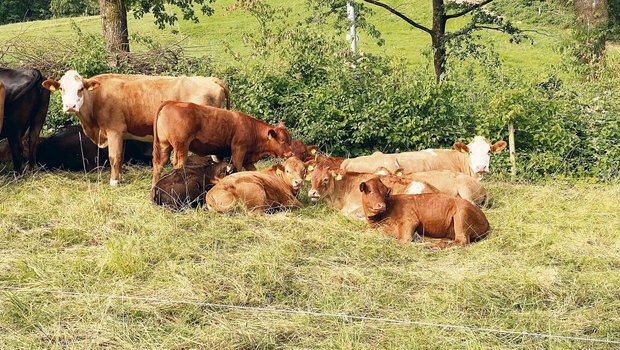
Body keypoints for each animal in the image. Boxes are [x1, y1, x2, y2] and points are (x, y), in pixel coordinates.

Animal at [41, 69, 230, 186]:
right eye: (61, 89)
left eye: (80, 88)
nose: (70, 106)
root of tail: (211, 79)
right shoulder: (122, 134)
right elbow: (121, 157)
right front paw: (119, 178)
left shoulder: (114, 131)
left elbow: (114, 157)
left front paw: (113, 182)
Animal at [152, 101, 294, 189]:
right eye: (282, 140)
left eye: (289, 139)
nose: (290, 153)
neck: (251, 128)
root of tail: (171, 102)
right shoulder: (238, 151)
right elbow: (237, 169)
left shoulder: (245, 159)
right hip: (181, 147)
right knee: (178, 164)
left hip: (164, 146)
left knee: (158, 166)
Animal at [358, 176, 490, 247]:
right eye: (369, 191)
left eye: (385, 192)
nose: (382, 205)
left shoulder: (410, 221)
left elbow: (403, 241)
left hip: (461, 215)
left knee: (462, 241)